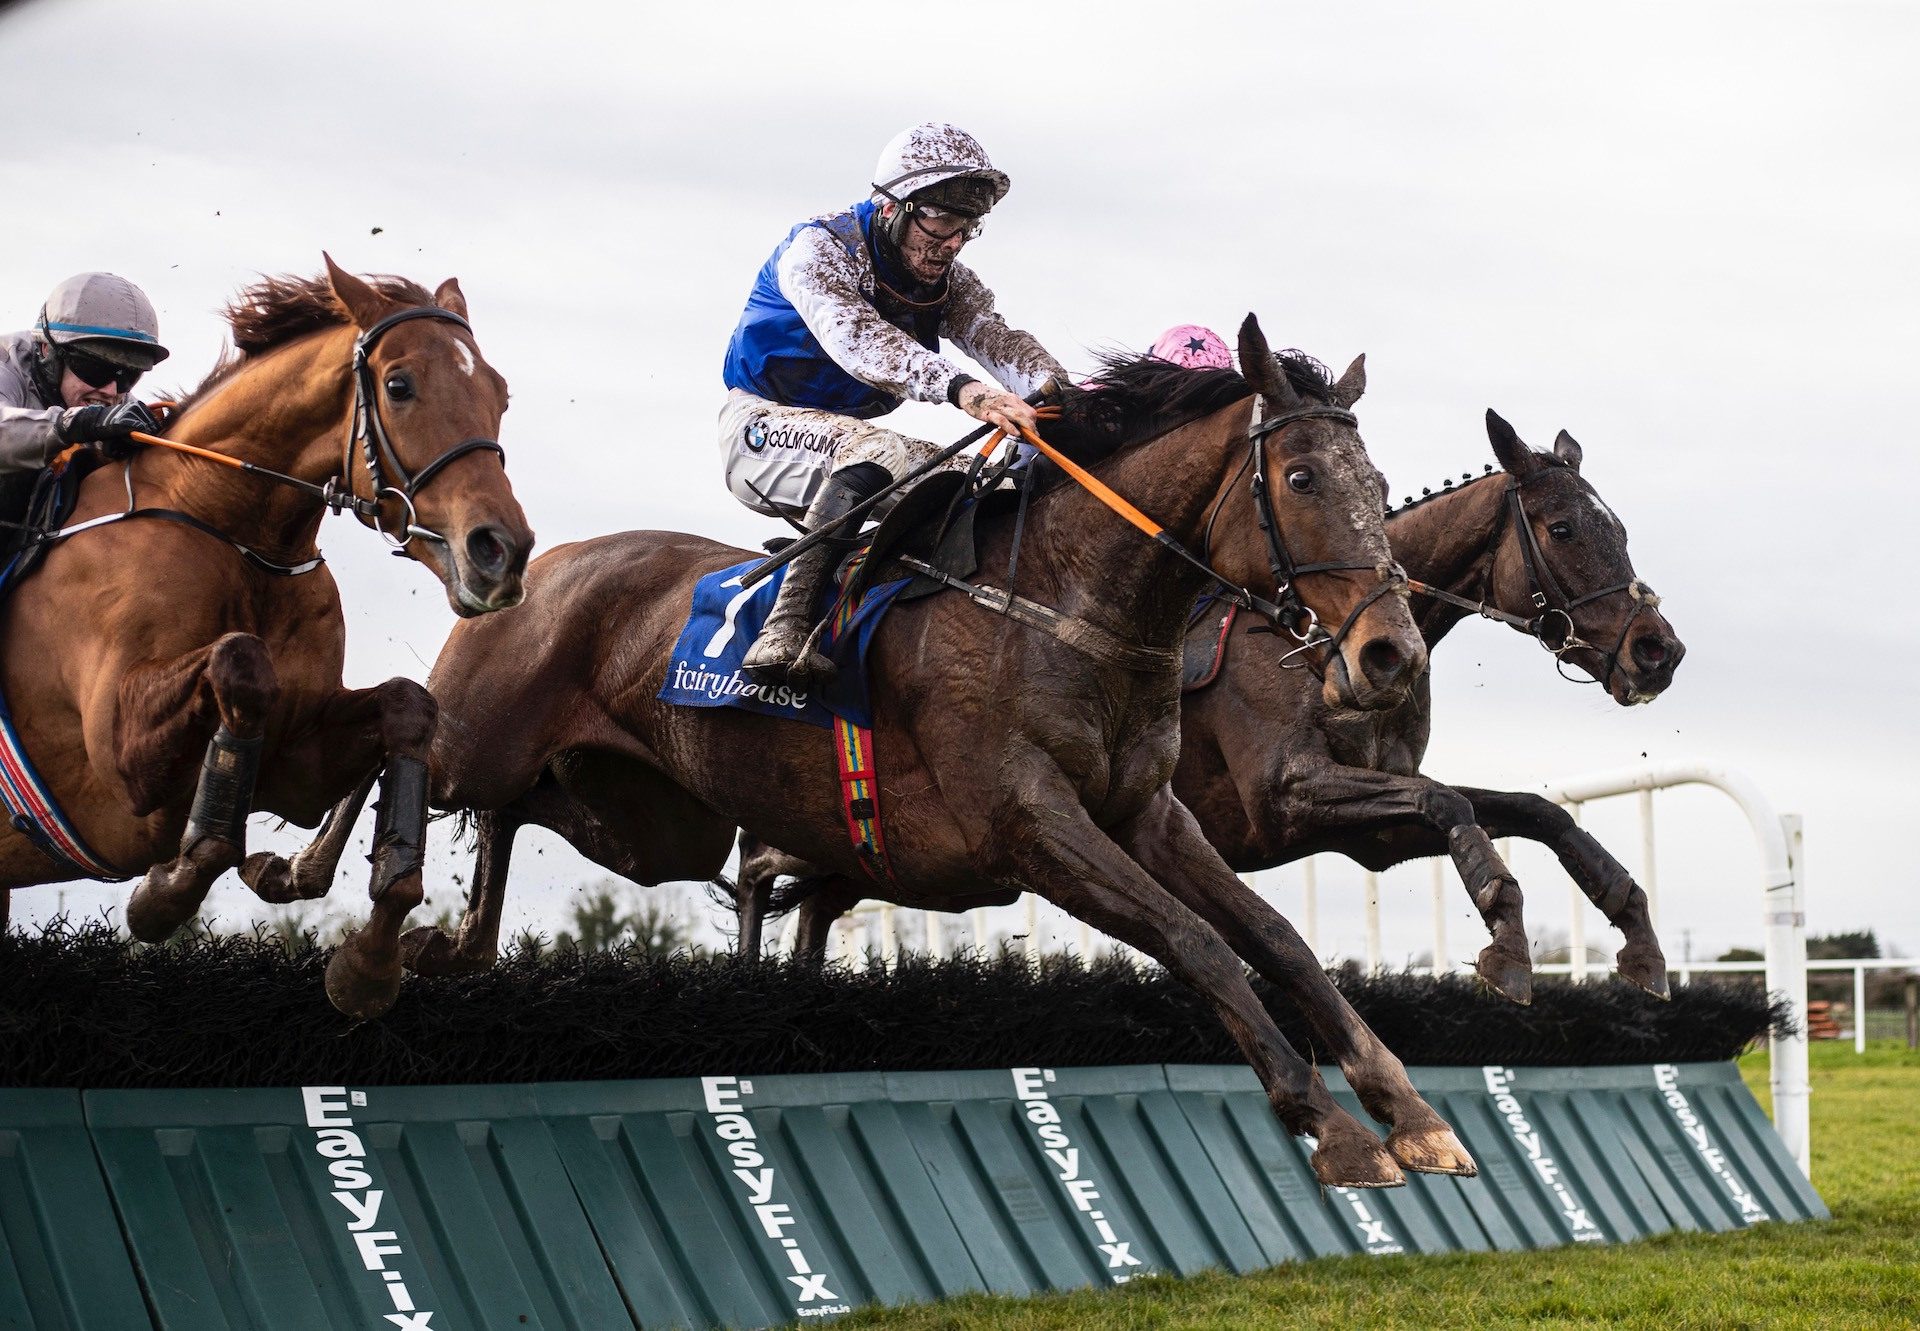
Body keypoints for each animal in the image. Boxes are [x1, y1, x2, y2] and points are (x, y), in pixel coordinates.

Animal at [0, 253, 533, 1014]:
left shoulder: (295, 765)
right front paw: (166, 891)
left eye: (500, 394)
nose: (502, 551)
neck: (234, 532)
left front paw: (367, 963)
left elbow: (409, 706)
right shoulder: (121, 770)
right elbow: (241, 664)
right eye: (399, 386)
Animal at [322, 318, 1474, 1183]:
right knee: (394, 744)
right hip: (483, 734)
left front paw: (1411, 1111)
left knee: (506, 822)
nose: (1389, 655)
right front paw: (1331, 1126)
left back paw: (448, 942)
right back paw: (342, 920)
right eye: (1302, 476)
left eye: (1377, 482)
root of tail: (534, 561)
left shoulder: (1145, 811)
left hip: (641, 824)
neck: (1063, 601)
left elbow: (1276, 937)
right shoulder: (1028, 822)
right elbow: (1200, 942)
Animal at [741, 411, 1689, 998]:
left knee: (815, 906)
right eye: (1563, 528)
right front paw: (1507, 939)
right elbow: (1454, 804)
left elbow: (1523, 809)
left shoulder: (1373, 831)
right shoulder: (1288, 795)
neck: (1332, 638)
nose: (1659, 648)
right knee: (758, 876)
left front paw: (1635, 934)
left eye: (1620, 528)